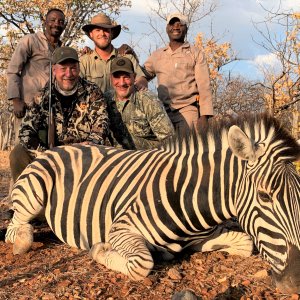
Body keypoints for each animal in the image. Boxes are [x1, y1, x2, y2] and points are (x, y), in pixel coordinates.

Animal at [4, 112, 300, 292]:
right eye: (264, 196)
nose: (296, 281)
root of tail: (59, 147)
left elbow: (246, 242)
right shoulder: (121, 229)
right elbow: (141, 263)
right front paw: (100, 250)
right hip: (33, 191)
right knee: (15, 226)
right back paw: (22, 239)